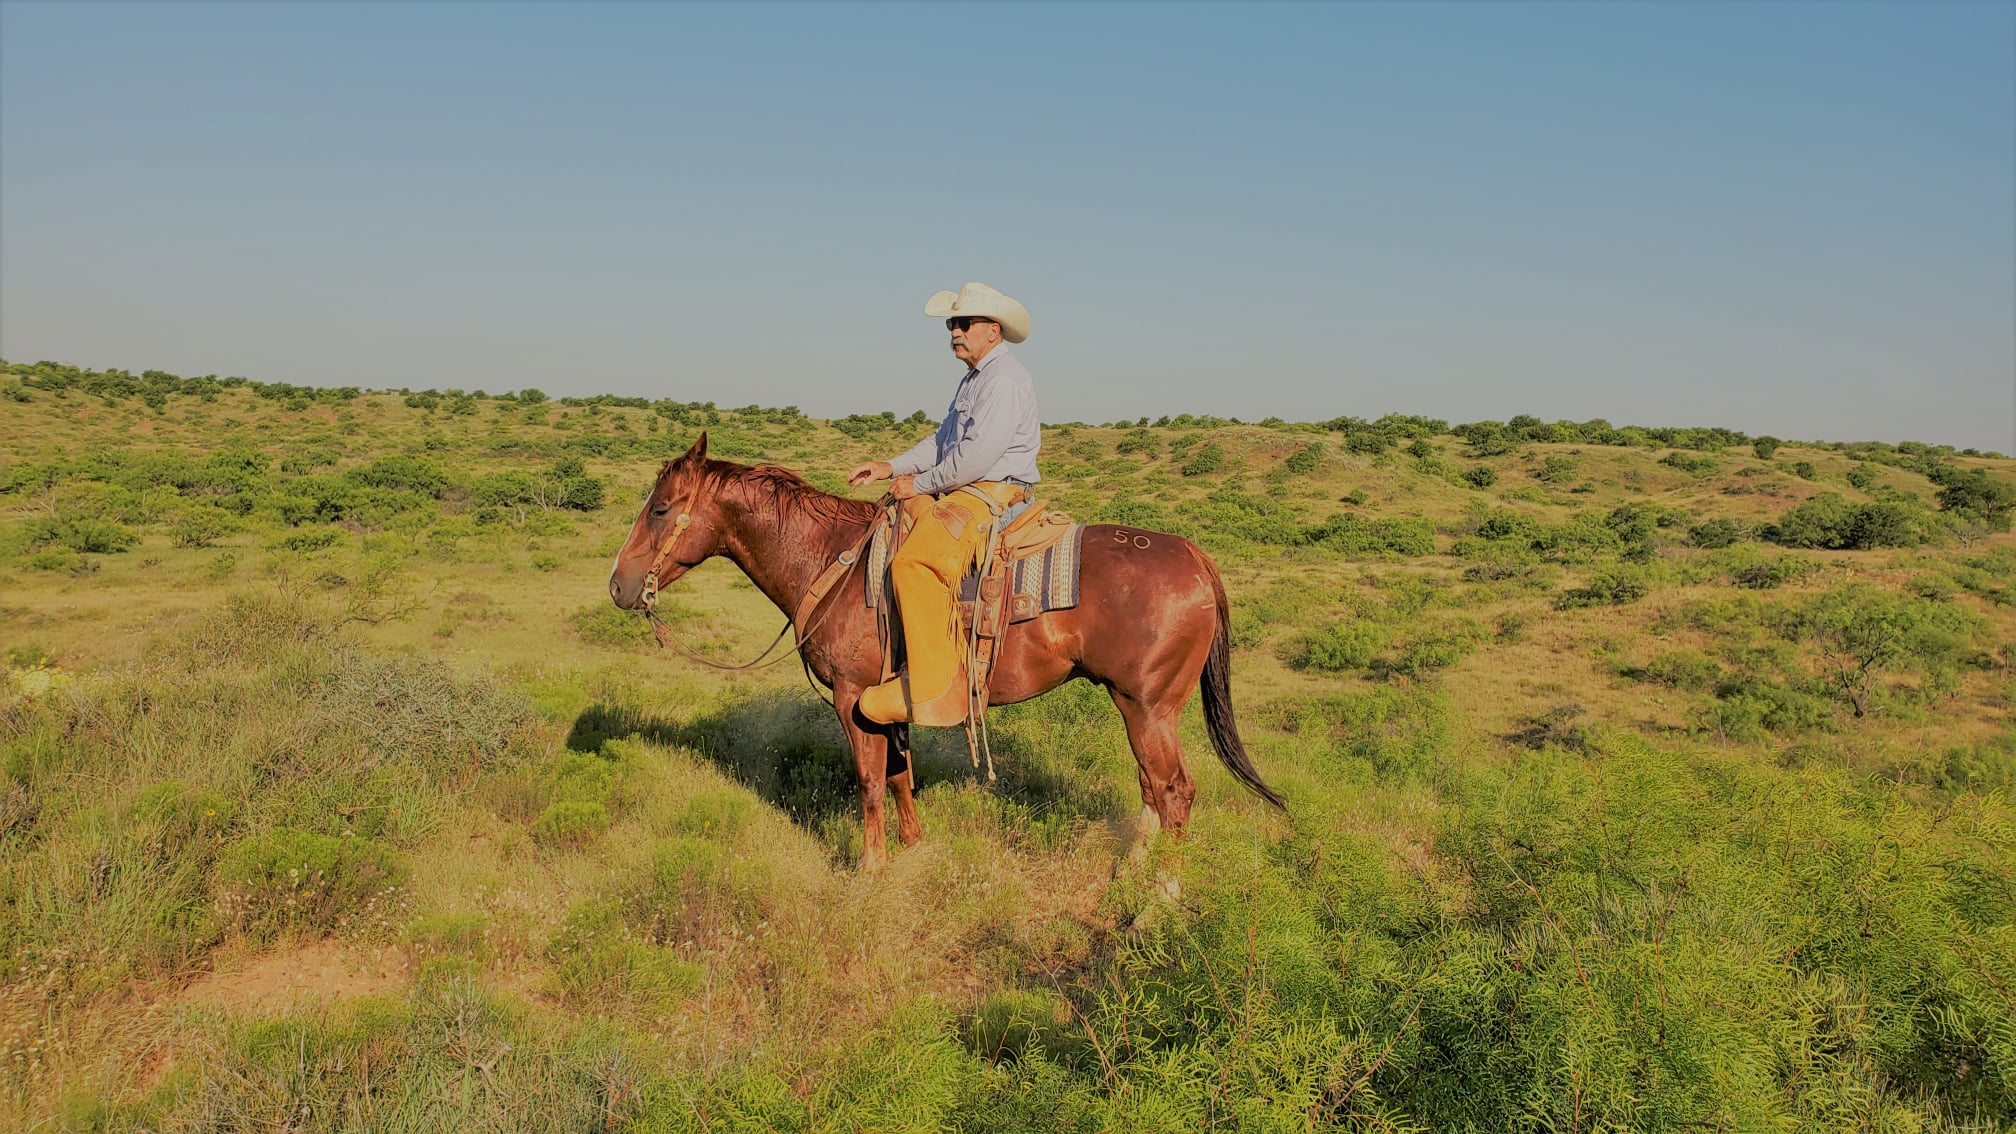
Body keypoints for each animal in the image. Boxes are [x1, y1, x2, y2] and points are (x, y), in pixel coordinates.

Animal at [607, 434, 1284, 871]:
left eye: (661, 508)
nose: (618, 585)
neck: (832, 561)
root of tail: (1195, 556)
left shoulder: (853, 697)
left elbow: (869, 781)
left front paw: (871, 869)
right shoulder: (889, 700)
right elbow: (900, 773)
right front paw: (912, 847)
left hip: (1149, 707)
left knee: (1175, 792)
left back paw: (1155, 905)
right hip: (1136, 706)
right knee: (1152, 789)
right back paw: (1134, 875)